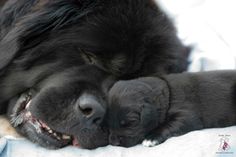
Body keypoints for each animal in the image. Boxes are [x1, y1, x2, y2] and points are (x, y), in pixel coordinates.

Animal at [107, 71, 236, 147]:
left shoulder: (186, 115)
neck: (167, 93)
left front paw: (151, 138)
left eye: (130, 123)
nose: (114, 142)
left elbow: (169, 124)